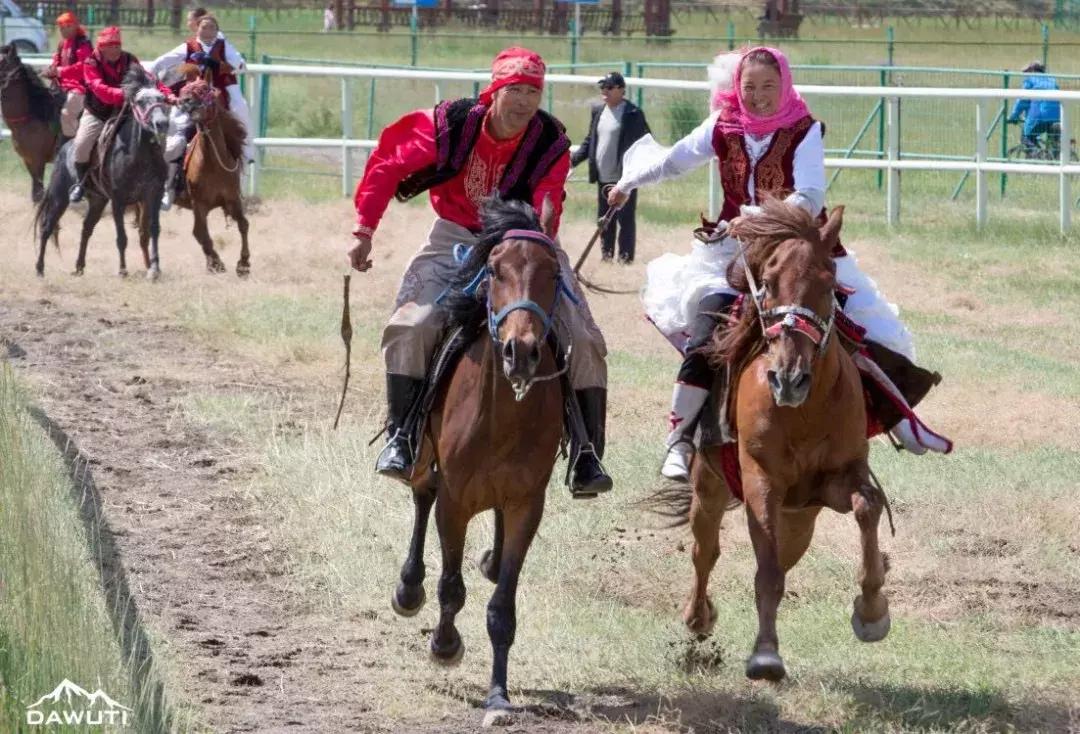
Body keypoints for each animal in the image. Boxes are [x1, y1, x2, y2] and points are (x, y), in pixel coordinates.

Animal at [33, 65, 169, 278]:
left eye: (162, 98)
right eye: (140, 101)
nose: (161, 123)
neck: (138, 155)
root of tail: (63, 150)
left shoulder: (153, 195)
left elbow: (154, 230)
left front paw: (154, 269)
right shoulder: (118, 201)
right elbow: (121, 237)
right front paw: (122, 270)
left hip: (97, 201)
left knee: (86, 228)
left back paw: (79, 266)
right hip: (59, 197)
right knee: (47, 227)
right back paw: (39, 269)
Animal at [173, 74, 251, 276]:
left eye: (203, 89)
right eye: (183, 91)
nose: (185, 102)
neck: (213, 164)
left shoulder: (232, 199)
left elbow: (243, 224)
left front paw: (244, 264)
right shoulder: (199, 205)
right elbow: (200, 233)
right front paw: (215, 263)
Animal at [393, 197, 570, 721]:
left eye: (554, 272)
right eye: (494, 269)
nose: (521, 351)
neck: (503, 416)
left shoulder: (527, 504)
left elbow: (501, 606)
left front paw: (498, 694)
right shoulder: (455, 502)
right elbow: (451, 585)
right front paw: (445, 645)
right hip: (422, 459)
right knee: (421, 496)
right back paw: (409, 589)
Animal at [673, 200, 894, 682]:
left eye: (828, 282)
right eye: (769, 283)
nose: (789, 379)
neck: (805, 410)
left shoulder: (838, 479)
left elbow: (867, 507)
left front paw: (871, 612)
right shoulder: (761, 483)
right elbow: (767, 570)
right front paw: (765, 656)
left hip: (801, 517)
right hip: (709, 487)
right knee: (705, 551)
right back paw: (697, 618)